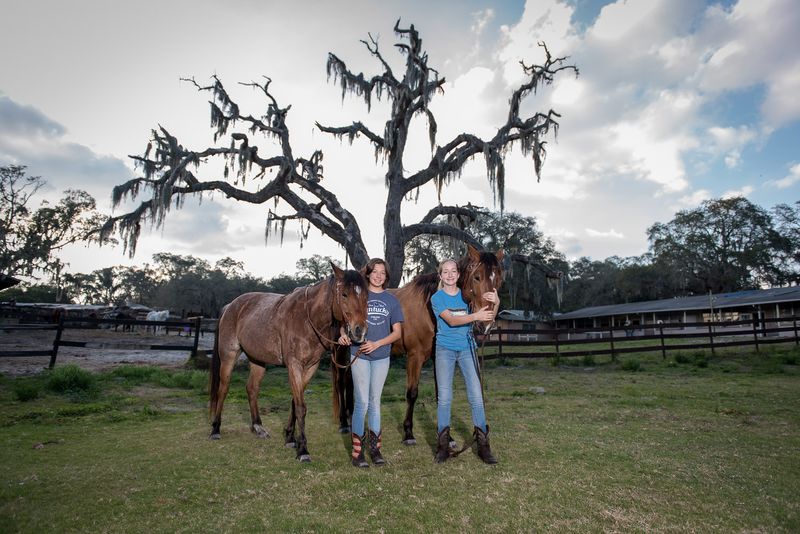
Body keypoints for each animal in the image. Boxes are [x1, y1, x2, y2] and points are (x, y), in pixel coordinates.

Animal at [210, 263, 368, 462]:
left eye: (366, 295)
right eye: (344, 294)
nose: (359, 331)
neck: (307, 319)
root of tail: (230, 306)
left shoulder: (310, 367)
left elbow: (294, 401)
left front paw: (290, 437)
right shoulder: (294, 365)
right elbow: (300, 407)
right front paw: (303, 450)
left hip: (257, 360)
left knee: (252, 388)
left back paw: (258, 427)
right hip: (228, 356)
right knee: (223, 390)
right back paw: (215, 429)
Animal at [332, 246, 504, 444]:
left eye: (499, 279)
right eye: (477, 277)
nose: (486, 324)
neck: (428, 307)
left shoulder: (438, 357)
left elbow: (440, 393)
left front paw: (447, 437)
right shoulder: (415, 356)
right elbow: (412, 393)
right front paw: (408, 433)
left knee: (349, 381)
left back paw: (352, 418)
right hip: (341, 349)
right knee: (340, 381)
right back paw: (344, 423)